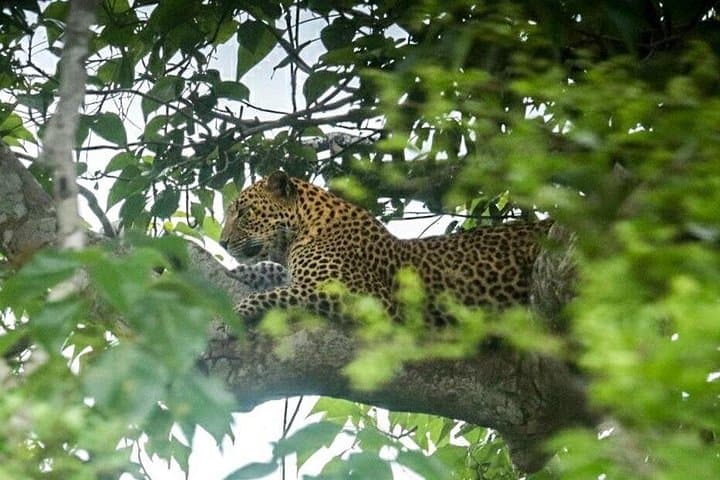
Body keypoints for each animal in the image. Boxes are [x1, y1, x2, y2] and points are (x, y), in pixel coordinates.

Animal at [219, 170, 552, 324]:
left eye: (244, 212)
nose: (222, 242)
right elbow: (275, 277)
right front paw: (240, 272)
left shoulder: (367, 297)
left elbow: (280, 294)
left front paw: (239, 309)